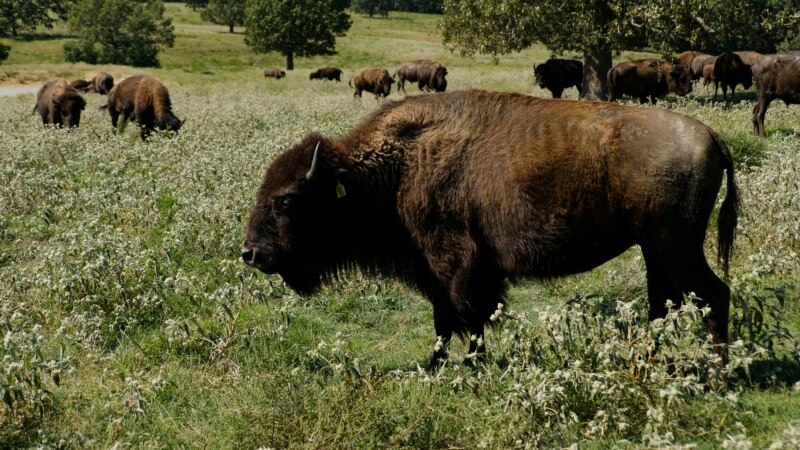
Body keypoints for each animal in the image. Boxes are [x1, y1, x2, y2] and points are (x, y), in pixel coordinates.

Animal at [242, 90, 738, 367]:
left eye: (287, 200)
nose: (250, 253)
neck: (396, 167)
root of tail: (711, 135)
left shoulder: (456, 263)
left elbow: (465, 315)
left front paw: (470, 365)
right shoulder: (440, 271)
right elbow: (446, 319)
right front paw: (438, 364)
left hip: (676, 247)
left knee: (714, 294)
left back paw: (715, 374)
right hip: (656, 251)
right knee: (664, 304)